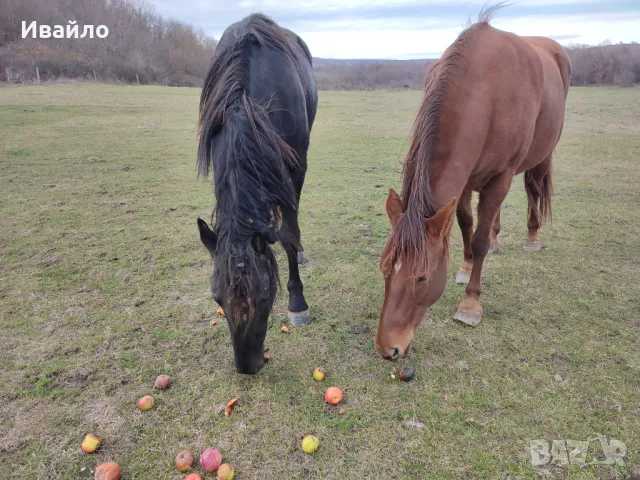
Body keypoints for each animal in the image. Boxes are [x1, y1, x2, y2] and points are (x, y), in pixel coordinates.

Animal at [195, 14, 316, 376]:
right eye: (216, 298)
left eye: (265, 297)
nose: (247, 366)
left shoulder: (296, 165)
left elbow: (289, 232)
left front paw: (297, 303)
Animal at [376, 12, 568, 360]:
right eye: (385, 268)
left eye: (421, 277)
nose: (388, 348)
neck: (486, 92)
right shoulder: (465, 177)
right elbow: (466, 222)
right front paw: (465, 265)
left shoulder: (500, 176)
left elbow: (477, 239)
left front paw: (470, 303)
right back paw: (496, 238)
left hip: (542, 156)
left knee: (533, 190)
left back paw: (532, 236)